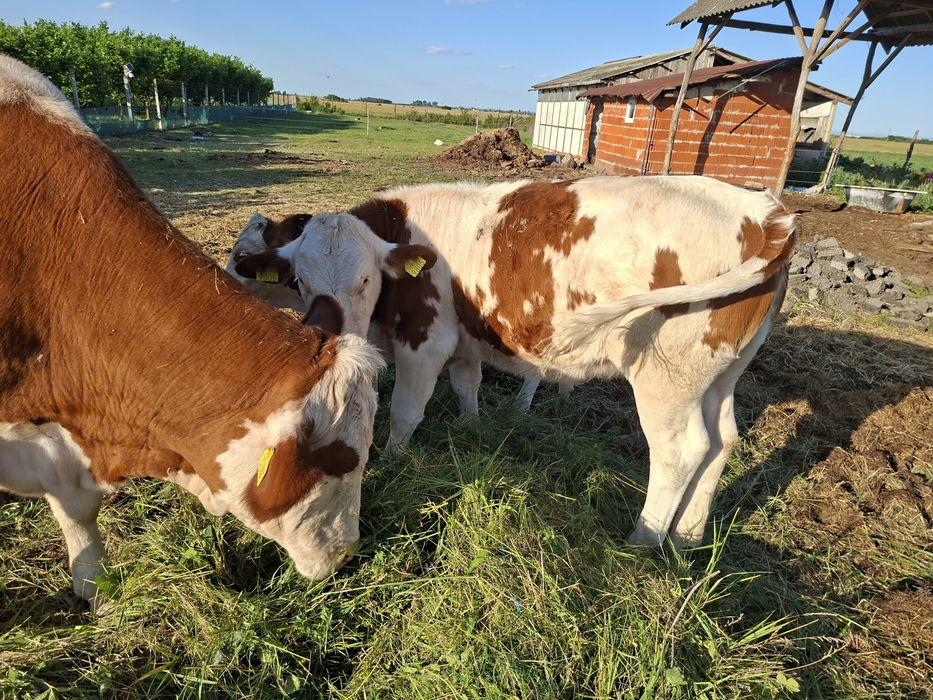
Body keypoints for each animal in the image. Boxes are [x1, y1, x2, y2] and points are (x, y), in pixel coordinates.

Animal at [227, 210, 570, 410]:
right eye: (300, 280)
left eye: (365, 280)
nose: (227, 284)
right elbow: (466, 386)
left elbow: (406, 409)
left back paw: (522, 405)